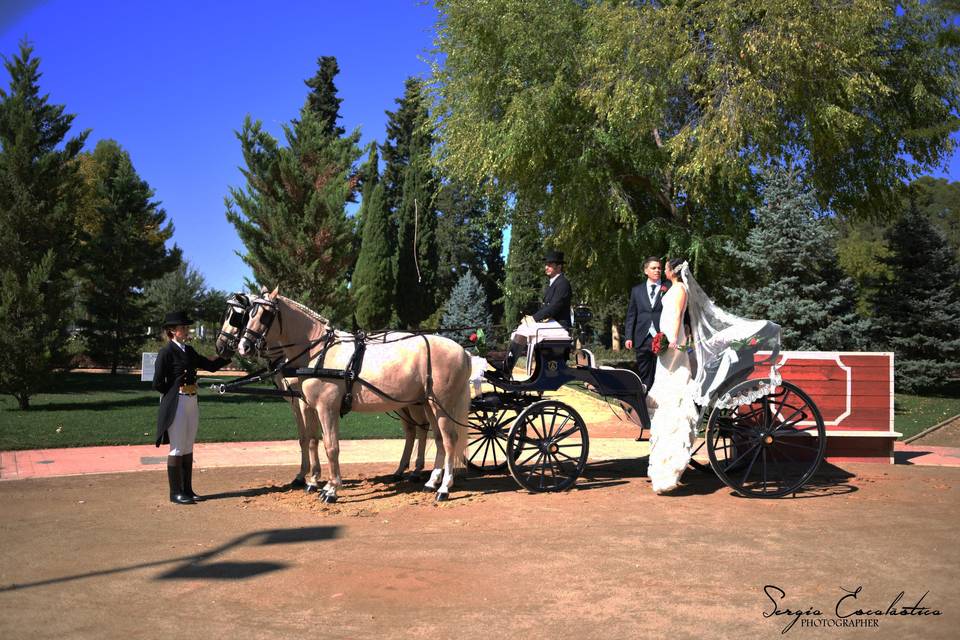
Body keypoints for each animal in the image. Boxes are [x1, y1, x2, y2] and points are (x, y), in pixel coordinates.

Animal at [234, 288, 470, 502]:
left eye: (265, 315)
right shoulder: (309, 406)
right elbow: (312, 441)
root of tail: (463, 351)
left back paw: (444, 488)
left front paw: (331, 489)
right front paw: (314, 482)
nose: (244, 346)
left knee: (449, 439)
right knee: (437, 438)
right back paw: (431, 482)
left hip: (441, 405)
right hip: (428, 404)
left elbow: (331, 447)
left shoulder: (326, 408)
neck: (319, 352)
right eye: (248, 315)